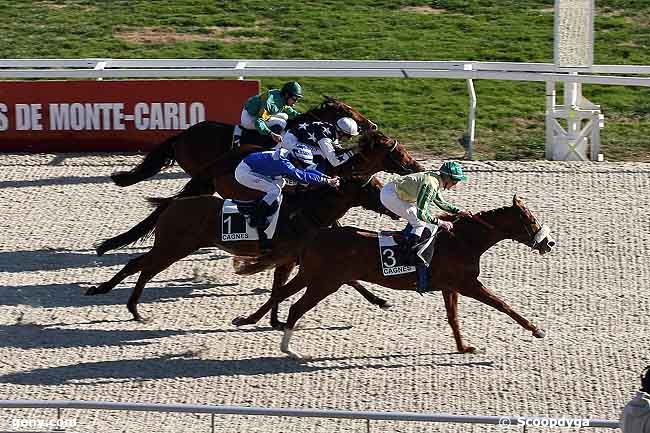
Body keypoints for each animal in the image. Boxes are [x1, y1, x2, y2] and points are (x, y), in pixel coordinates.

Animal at [85, 174, 398, 322]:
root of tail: (174, 204)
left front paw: (273, 321)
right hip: (174, 247)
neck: (307, 212)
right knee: (144, 269)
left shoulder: (291, 259)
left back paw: (110, 294)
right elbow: (346, 279)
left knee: (138, 265)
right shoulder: (293, 257)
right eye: (373, 188)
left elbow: (282, 288)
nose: (390, 206)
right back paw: (131, 307)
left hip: (171, 246)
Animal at [230, 196, 556, 358]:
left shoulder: (450, 286)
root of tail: (316, 234)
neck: (465, 240)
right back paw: (292, 351)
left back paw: (248, 320)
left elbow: (453, 318)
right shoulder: (468, 284)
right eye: (530, 220)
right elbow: (503, 305)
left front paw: (464, 347)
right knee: (296, 306)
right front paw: (537, 330)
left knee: (281, 293)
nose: (549, 243)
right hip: (325, 281)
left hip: (313, 274)